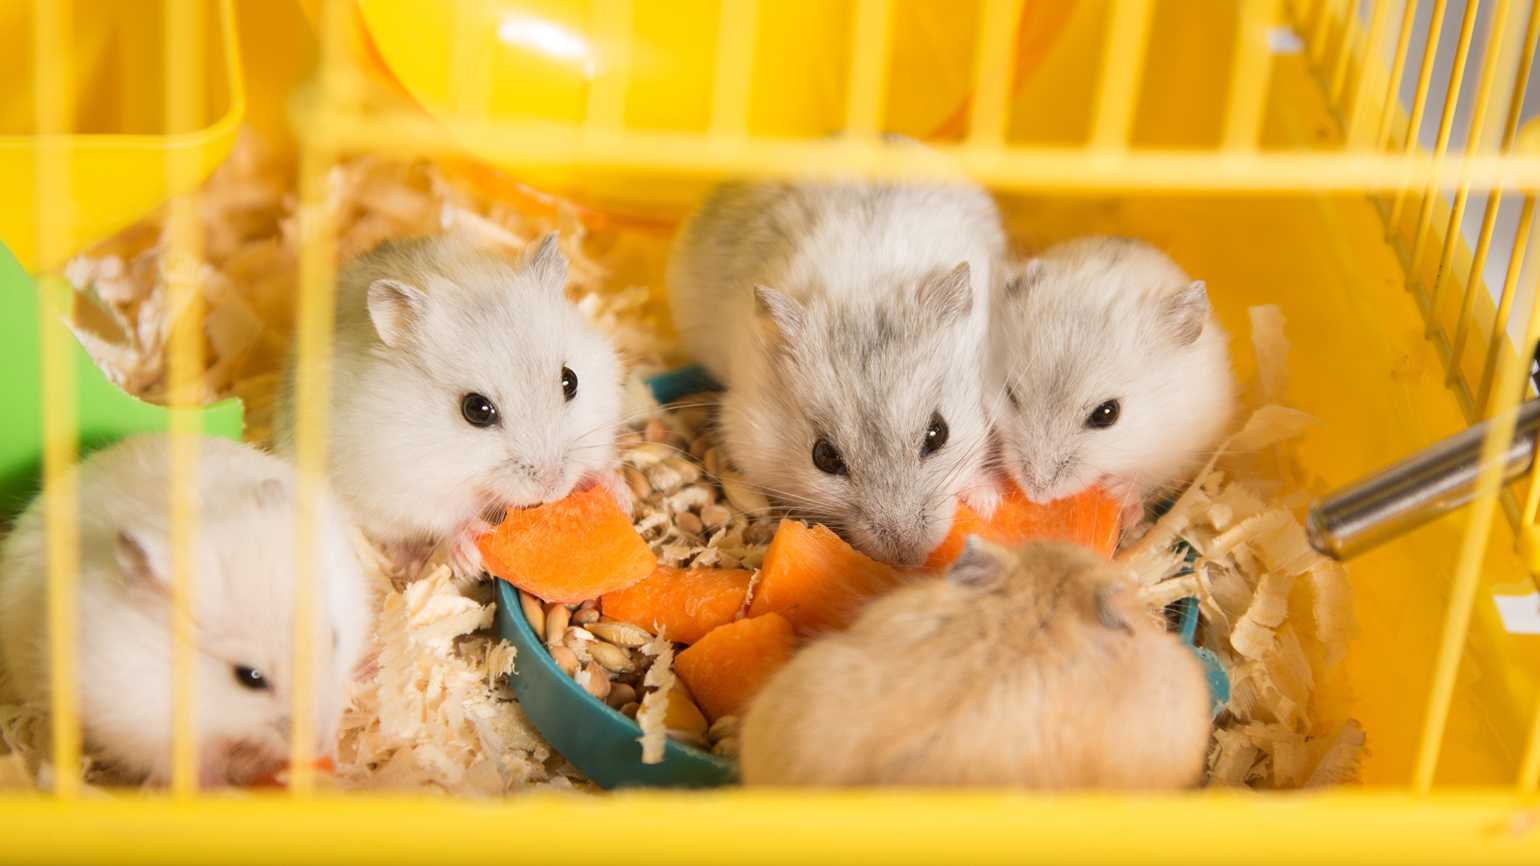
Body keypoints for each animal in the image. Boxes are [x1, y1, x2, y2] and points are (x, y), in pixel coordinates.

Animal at [274, 233, 626, 576]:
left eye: (570, 381)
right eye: (476, 410)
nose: (553, 487)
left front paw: (617, 491)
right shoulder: (409, 483)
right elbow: (449, 517)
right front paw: (471, 552)